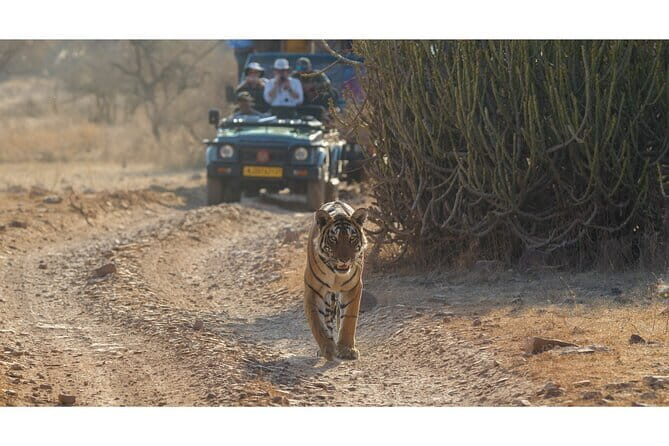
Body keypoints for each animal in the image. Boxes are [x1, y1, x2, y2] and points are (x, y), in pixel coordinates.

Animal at [304, 201, 368, 361]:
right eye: (334, 239)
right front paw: (328, 348)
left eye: (352, 239)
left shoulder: (353, 287)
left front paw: (346, 349)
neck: (336, 274)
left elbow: (349, 320)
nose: (344, 259)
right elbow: (317, 323)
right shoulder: (313, 290)